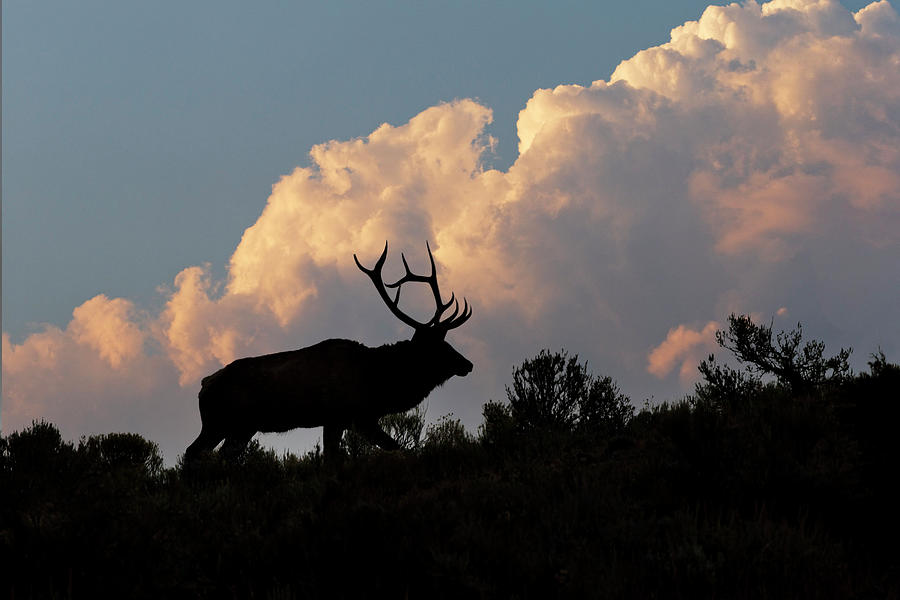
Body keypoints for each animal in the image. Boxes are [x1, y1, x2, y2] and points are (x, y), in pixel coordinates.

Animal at [186, 241, 474, 462]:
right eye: (438, 346)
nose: (467, 364)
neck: (377, 381)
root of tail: (203, 385)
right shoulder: (349, 415)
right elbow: (382, 450)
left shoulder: (345, 419)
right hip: (219, 422)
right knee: (192, 452)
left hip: (241, 428)